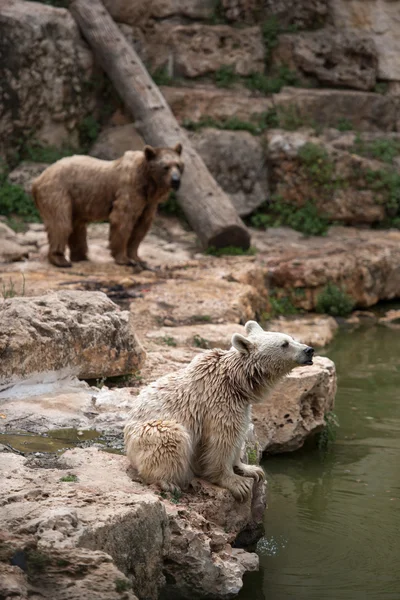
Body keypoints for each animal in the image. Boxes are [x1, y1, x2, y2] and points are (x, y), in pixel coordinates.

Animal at [32, 143, 185, 268]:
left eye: (178, 165)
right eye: (165, 167)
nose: (175, 180)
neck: (148, 183)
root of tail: (37, 179)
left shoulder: (148, 203)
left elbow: (141, 226)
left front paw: (138, 258)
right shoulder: (130, 189)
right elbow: (123, 220)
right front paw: (124, 259)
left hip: (76, 200)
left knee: (77, 226)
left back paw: (81, 256)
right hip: (58, 192)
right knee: (61, 223)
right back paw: (61, 260)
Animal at [123, 324, 314, 502]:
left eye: (292, 338)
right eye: (284, 344)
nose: (309, 350)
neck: (235, 380)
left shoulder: (241, 405)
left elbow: (239, 433)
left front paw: (251, 469)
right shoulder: (218, 402)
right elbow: (222, 439)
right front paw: (237, 484)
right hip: (149, 432)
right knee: (170, 437)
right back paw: (167, 482)